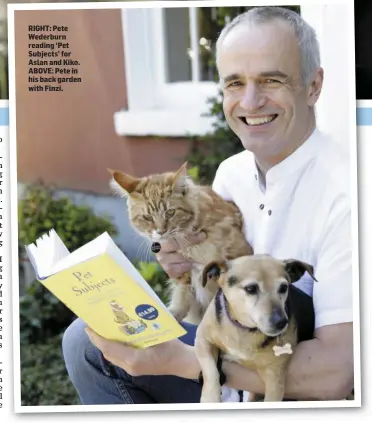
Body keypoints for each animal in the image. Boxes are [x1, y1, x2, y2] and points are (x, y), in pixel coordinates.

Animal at [107, 162, 253, 324]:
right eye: (147, 217)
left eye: (170, 212)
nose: (161, 231)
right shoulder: (184, 272)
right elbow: (183, 294)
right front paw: (174, 314)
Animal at [195, 255, 316, 404]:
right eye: (251, 288)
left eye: (284, 287)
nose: (281, 322)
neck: (245, 328)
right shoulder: (202, 338)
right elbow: (210, 370)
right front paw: (210, 398)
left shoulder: (274, 378)